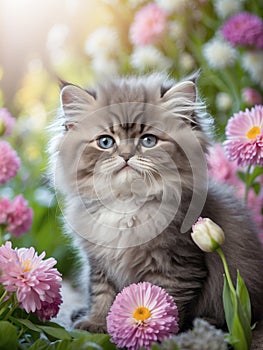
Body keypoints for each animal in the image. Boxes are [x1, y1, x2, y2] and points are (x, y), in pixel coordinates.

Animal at [49, 74, 263, 334]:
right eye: (106, 142)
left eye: (148, 140)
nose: (126, 155)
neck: (127, 203)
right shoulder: (100, 263)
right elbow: (102, 294)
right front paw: (96, 323)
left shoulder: (177, 264)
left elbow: (164, 301)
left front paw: (156, 332)